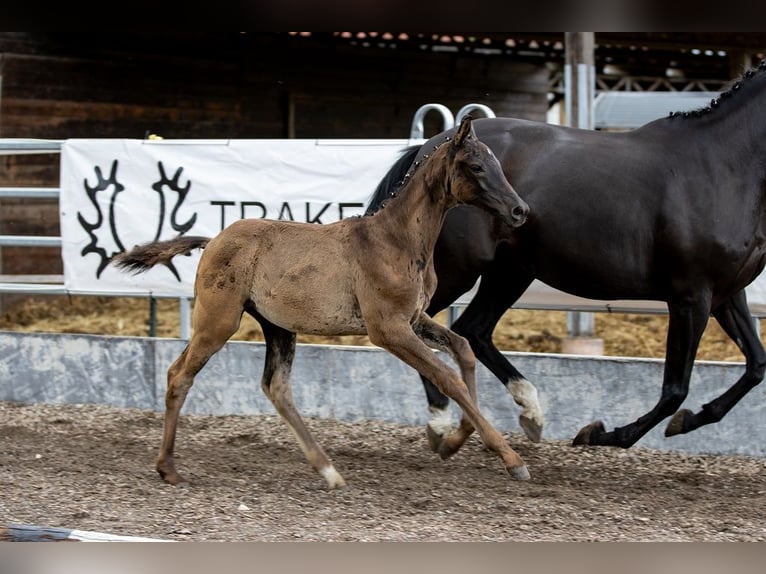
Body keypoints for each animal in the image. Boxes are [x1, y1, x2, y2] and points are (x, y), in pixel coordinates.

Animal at [114, 118, 532, 490]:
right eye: (476, 166)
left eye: (498, 163)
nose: (520, 210)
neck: (395, 240)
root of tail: (214, 239)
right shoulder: (387, 328)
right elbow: (447, 376)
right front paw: (511, 458)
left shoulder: (414, 319)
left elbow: (462, 350)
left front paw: (455, 441)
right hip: (218, 320)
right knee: (179, 375)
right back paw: (168, 468)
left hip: (277, 326)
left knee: (276, 387)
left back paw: (328, 471)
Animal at [368, 62, 766, 454]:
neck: (718, 167)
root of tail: (428, 148)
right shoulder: (690, 297)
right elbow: (675, 390)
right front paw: (601, 433)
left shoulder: (725, 295)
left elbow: (756, 366)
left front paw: (690, 419)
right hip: (460, 270)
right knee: (417, 329)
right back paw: (441, 424)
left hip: (510, 271)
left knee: (472, 329)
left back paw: (529, 412)